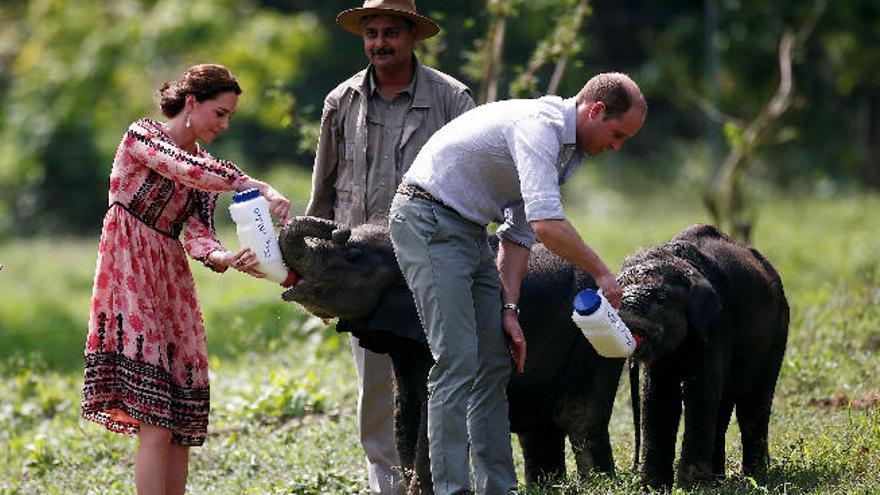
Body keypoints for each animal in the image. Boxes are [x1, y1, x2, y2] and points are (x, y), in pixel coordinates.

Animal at [278, 217, 624, 495]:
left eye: (352, 256)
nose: (339, 228)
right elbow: (406, 411)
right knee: (537, 431)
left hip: (587, 346)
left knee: (579, 417)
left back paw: (596, 485)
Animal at [620, 226, 792, 492]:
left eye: (661, 299)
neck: (682, 264)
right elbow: (659, 396)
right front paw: (655, 487)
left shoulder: (716, 323)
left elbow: (699, 391)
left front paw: (689, 487)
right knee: (723, 407)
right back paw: (718, 478)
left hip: (777, 329)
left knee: (753, 405)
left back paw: (755, 476)